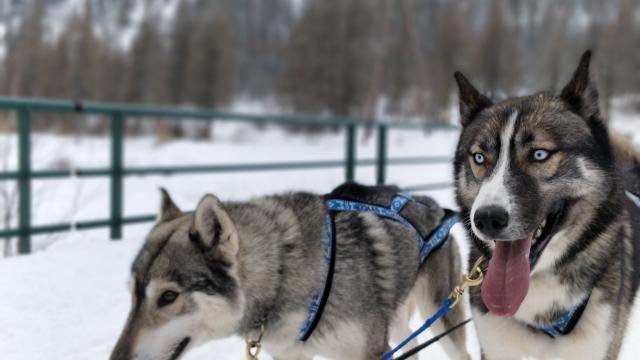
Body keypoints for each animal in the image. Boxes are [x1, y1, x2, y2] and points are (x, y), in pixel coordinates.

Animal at [111, 184, 470, 358]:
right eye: (131, 295)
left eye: (168, 296)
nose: (115, 359)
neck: (284, 273)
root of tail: (431, 204)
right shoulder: (289, 355)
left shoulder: (369, 353)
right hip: (394, 323)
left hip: (443, 319)